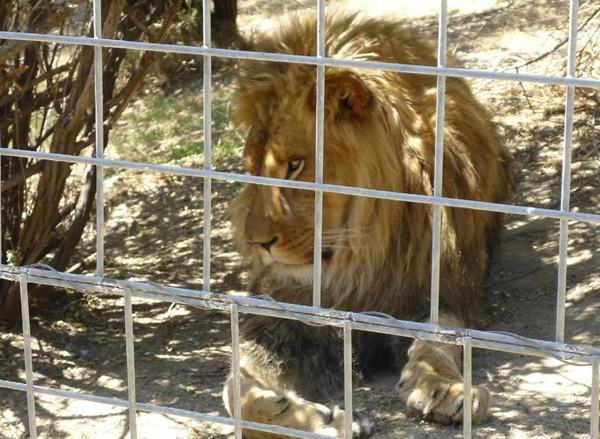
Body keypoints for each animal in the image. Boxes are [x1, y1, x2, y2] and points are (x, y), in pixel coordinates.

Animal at [223, 11, 512, 439]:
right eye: (251, 167)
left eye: (295, 164)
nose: (255, 242)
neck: (359, 257)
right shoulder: (283, 317)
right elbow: (235, 383)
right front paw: (307, 418)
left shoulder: (439, 288)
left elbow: (437, 341)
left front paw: (444, 387)